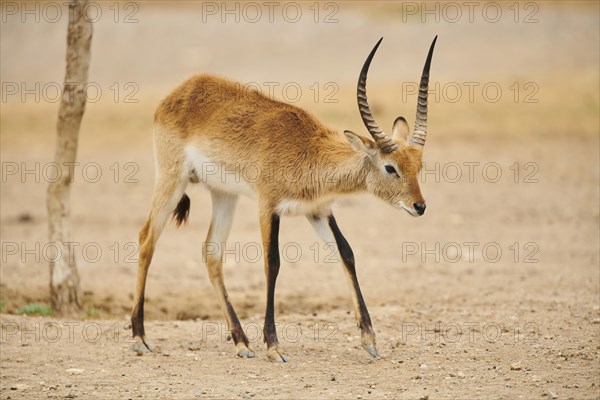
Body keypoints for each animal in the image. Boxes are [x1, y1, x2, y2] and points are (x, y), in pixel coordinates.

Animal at [132, 36, 436, 362]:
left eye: (419, 166)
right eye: (390, 167)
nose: (419, 206)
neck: (308, 150)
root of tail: (184, 88)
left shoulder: (318, 211)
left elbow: (346, 253)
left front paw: (370, 341)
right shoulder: (268, 206)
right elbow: (272, 263)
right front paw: (274, 346)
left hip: (224, 195)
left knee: (211, 253)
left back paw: (242, 343)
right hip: (171, 179)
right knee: (147, 238)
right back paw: (140, 336)